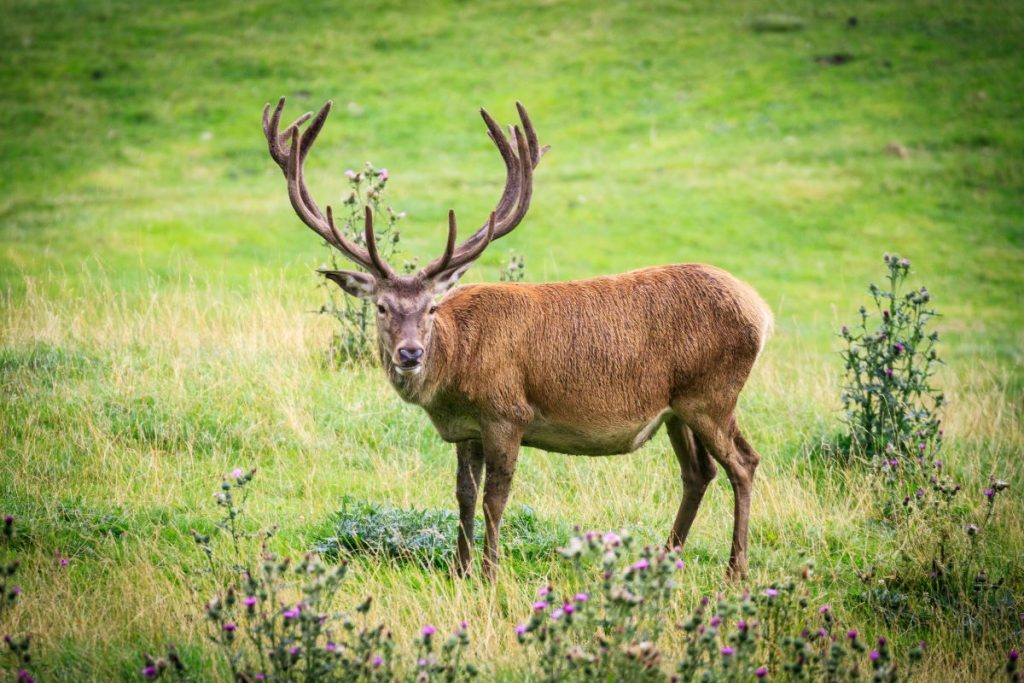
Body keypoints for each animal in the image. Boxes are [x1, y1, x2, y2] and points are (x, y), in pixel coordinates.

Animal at [262, 97, 773, 581]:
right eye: (382, 307)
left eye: (431, 307)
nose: (410, 353)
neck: (456, 370)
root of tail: (761, 311)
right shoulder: (467, 428)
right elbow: (464, 495)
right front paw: (459, 568)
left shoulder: (507, 412)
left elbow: (495, 497)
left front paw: (489, 573)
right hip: (677, 408)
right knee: (698, 472)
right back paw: (663, 559)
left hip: (711, 393)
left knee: (743, 463)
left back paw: (735, 569)